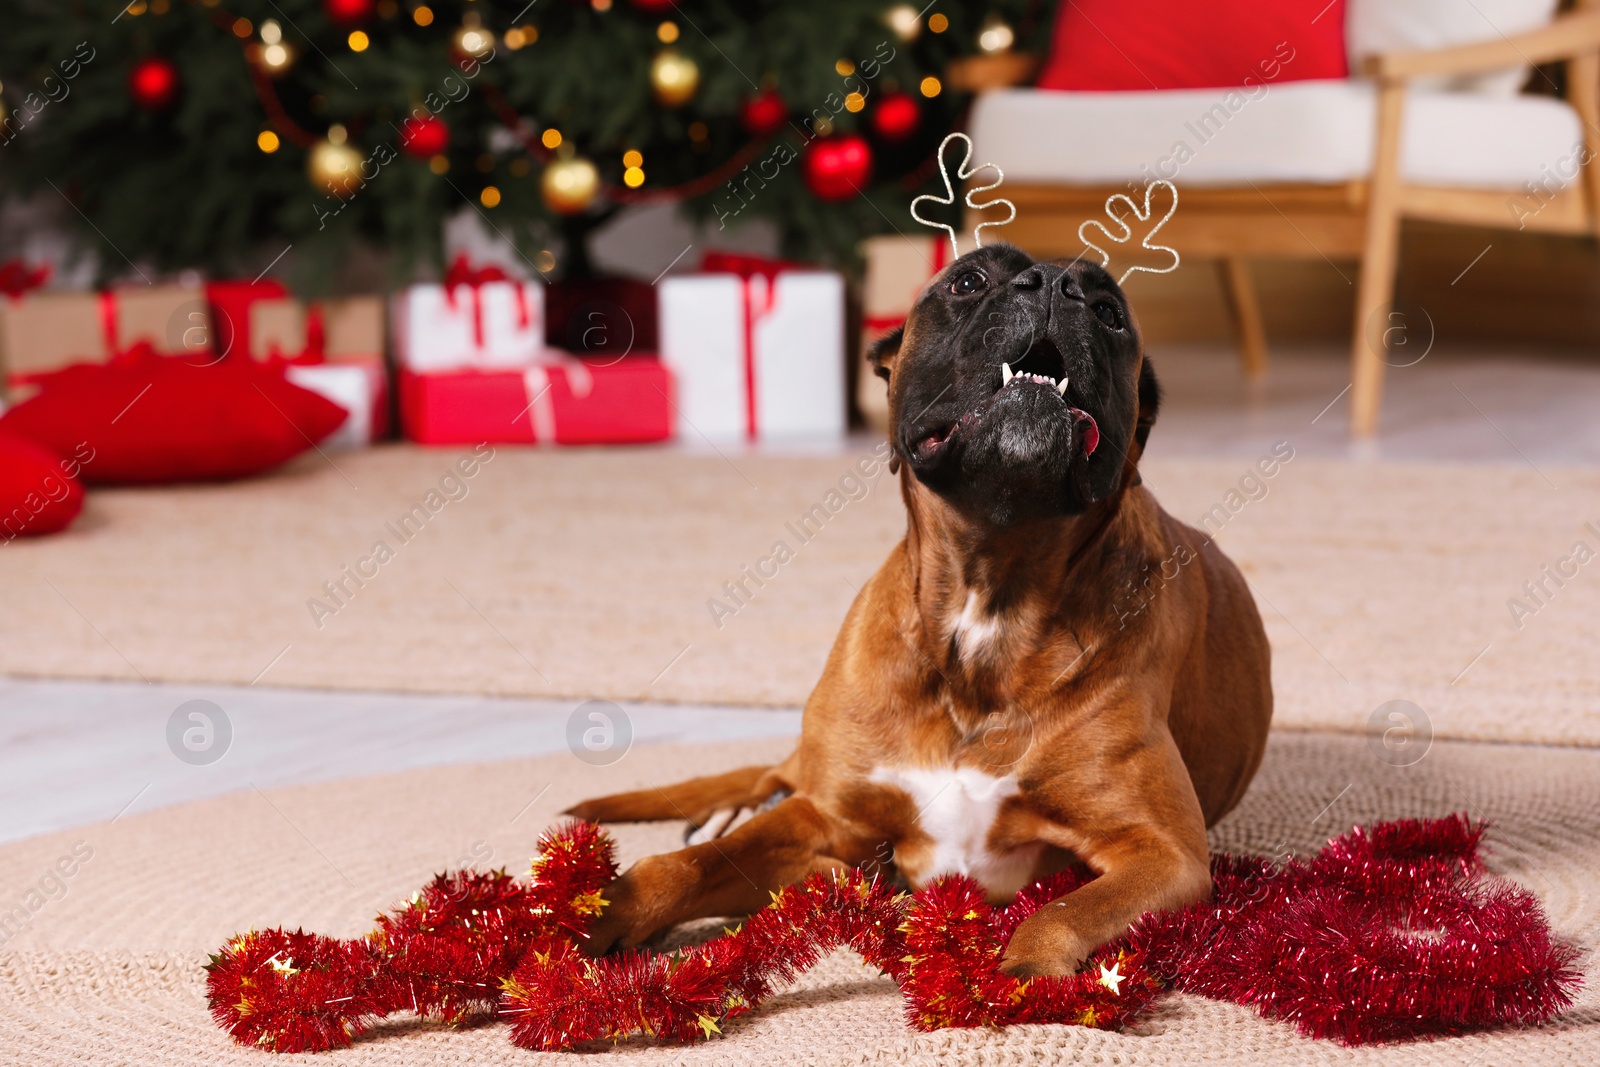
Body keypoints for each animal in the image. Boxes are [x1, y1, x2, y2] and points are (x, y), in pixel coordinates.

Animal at [569, 244, 1267, 979]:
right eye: (968, 280)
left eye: (1109, 312)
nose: (1055, 284)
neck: (988, 600)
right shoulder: (824, 821)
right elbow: (679, 866)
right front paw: (589, 915)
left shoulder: (1164, 854)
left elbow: (1058, 913)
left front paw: (1021, 980)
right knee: (768, 779)